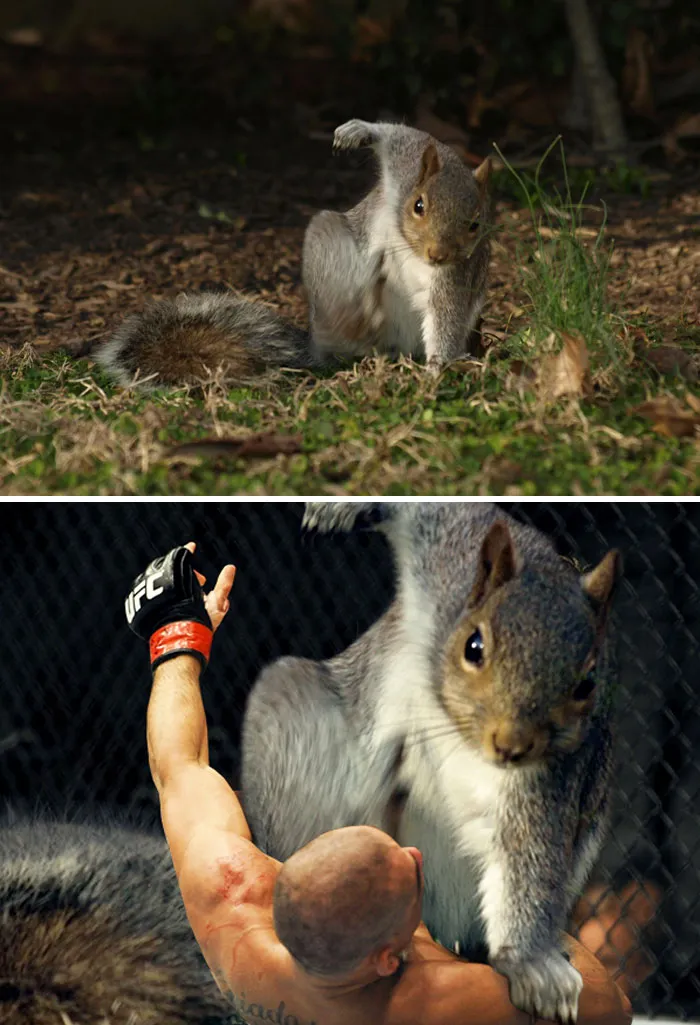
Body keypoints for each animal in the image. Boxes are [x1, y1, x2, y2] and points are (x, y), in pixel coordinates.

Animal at [93, 120, 492, 387]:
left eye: (476, 224)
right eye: (418, 205)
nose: (438, 254)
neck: (411, 246)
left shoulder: (457, 275)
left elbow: (446, 317)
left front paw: (438, 368)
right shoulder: (406, 164)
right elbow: (400, 135)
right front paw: (358, 131)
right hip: (327, 243)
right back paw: (355, 318)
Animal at [241, 502, 622, 1025]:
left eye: (587, 684)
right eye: (474, 646)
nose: (511, 746)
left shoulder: (547, 778)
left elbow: (528, 857)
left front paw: (531, 965)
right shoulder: (445, 558)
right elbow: (432, 510)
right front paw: (342, 507)